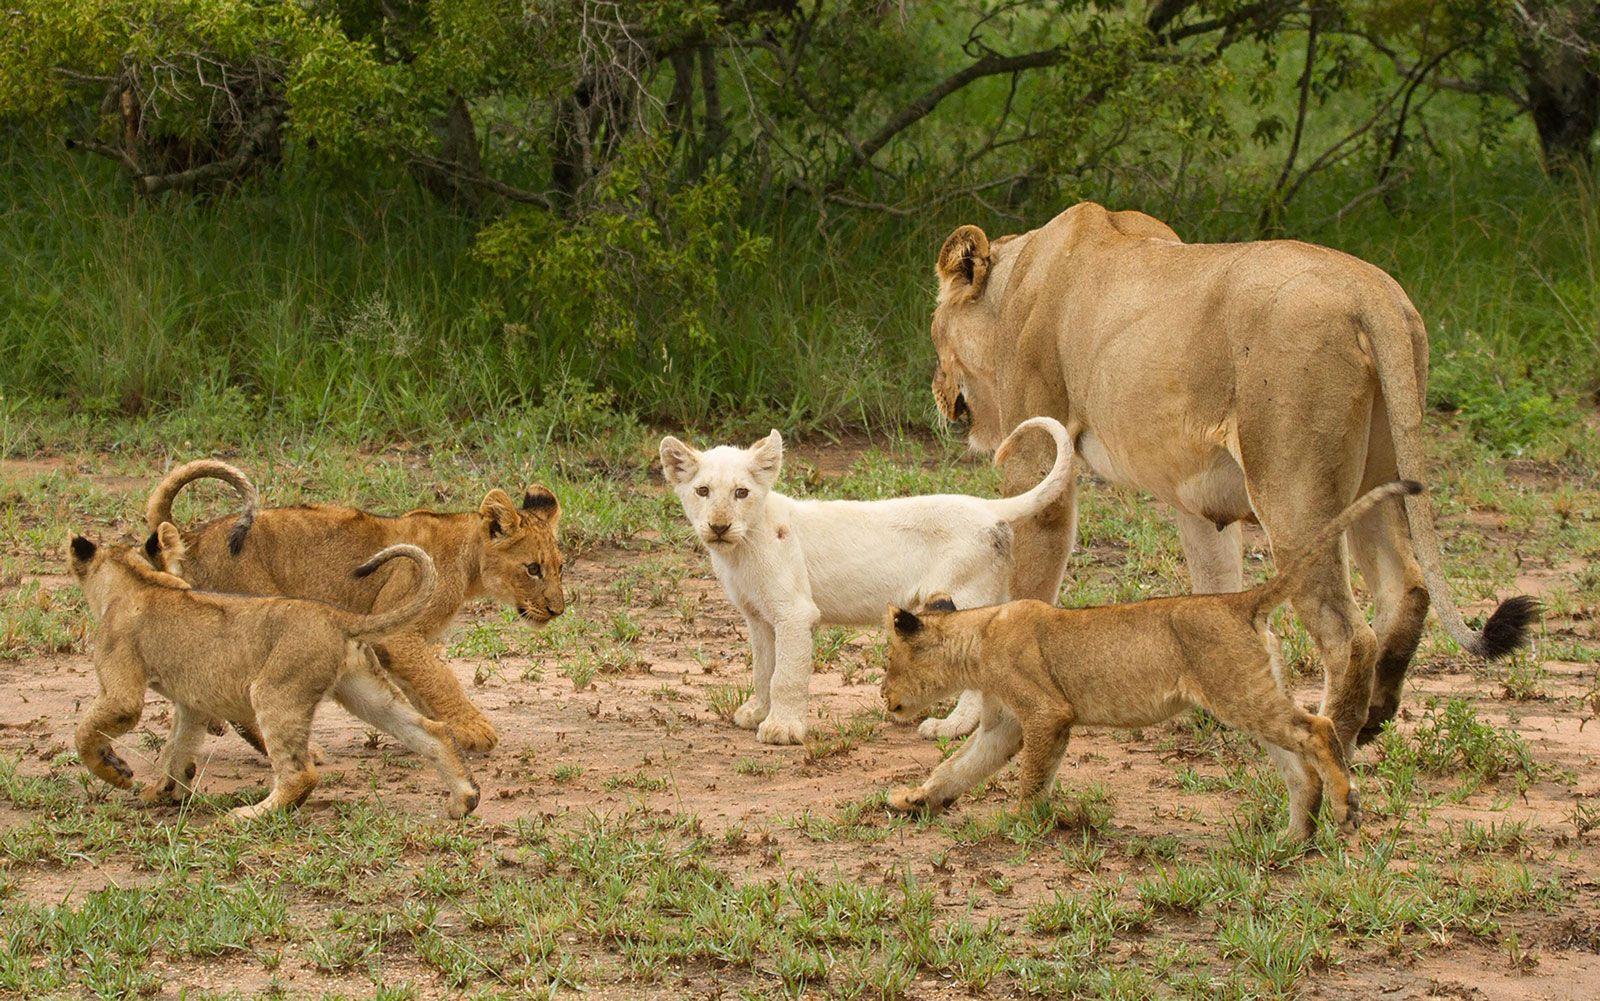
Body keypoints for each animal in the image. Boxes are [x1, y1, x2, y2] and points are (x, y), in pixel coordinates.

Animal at [69, 526, 481, 821]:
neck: (134, 578)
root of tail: (339, 617)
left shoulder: (122, 691)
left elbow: (86, 733)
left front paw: (116, 772)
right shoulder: (193, 705)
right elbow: (177, 747)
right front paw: (162, 792)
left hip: (275, 692)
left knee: (301, 774)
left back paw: (249, 815)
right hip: (365, 692)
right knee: (432, 731)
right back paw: (463, 799)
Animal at [145, 460, 566, 752]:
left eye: (560, 567)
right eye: (533, 568)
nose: (558, 611)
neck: (467, 558)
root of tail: (191, 537)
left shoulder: (401, 644)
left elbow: (420, 686)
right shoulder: (399, 631)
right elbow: (440, 678)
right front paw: (475, 730)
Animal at [877, 483, 1494, 842]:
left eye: (887, 663)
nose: (883, 695)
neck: (978, 636)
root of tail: (1238, 601)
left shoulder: (1048, 714)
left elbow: (1031, 778)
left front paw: (1020, 824)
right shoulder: (1006, 724)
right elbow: (958, 767)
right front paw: (914, 800)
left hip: (1238, 696)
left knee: (1318, 730)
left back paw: (1345, 809)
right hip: (1249, 697)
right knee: (1298, 769)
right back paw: (1292, 841)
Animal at [929, 203, 1539, 751]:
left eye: (934, 336)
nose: (935, 389)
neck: (1015, 281)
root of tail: (1372, 292)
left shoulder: (1039, 464)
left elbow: (1013, 605)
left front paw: (966, 723)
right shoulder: (1195, 495)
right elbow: (1216, 583)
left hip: (1293, 495)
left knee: (1348, 636)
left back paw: (1335, 748)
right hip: (1377, 476)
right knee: (1405, 588)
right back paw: (1372, 721)